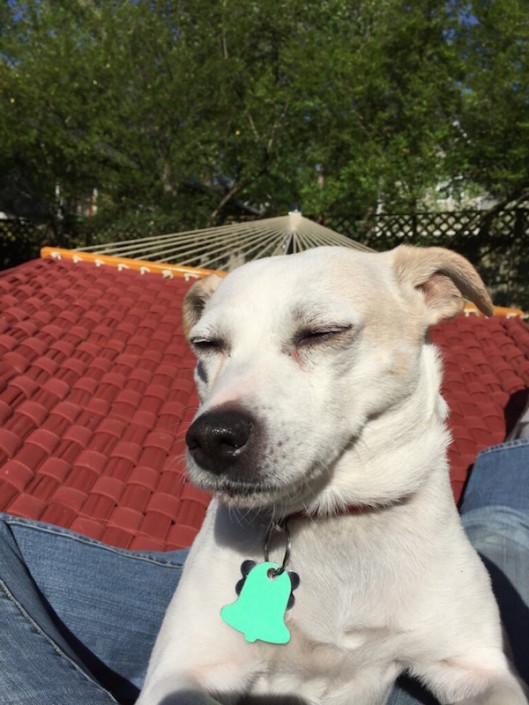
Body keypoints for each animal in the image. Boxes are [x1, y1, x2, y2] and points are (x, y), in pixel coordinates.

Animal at [137, 246, 528, 704]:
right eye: (206, 344)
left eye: (321, 333)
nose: (212, 437)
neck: (335, 517)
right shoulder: (184, 671)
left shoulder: (478, 665)